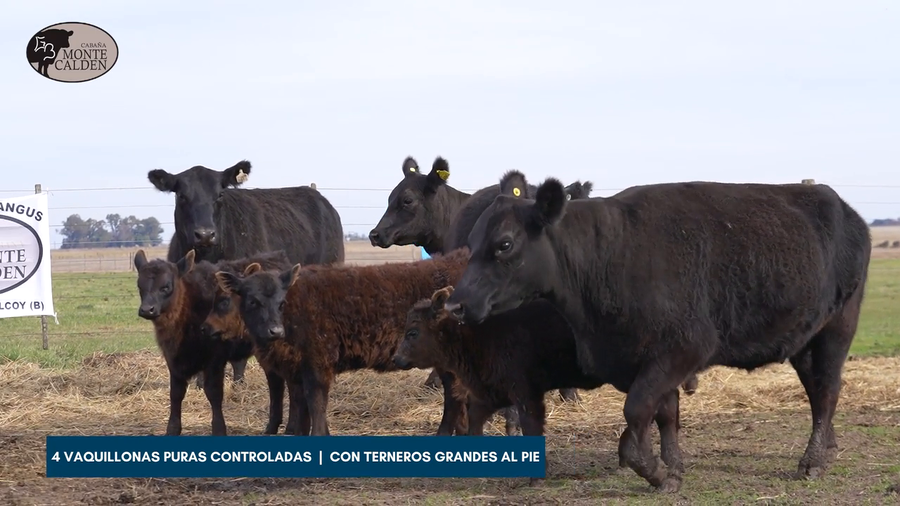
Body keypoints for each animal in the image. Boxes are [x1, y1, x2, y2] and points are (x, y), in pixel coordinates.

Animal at [134, 248, 299, 436]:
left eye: (166, 287)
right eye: (140, 286)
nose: (147, 309)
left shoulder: (214, 360)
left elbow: (213, 393)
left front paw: (219, 429)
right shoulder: (173, 361)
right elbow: (176, 393)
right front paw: (172, 430)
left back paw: (291, 426)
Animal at [213, 248, 473, 437]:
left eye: (281, 302)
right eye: (252, 301)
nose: (274, 331)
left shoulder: (317, 363)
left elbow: (316, 401)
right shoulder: (294, 370)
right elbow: (300, 405)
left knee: (454, 395)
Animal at [444, 171, 871, 493]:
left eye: (504, 244)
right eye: (471, 242)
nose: (456, 305)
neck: (606, 257)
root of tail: (839, 204)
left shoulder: (683, 349)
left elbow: (637, 412)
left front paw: (656, 472)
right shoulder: (647, 359)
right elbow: (664, 414)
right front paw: (673, 467)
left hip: (837, 329)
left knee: (827, 390)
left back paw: (812, 461)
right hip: (805, 340)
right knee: (817, 391)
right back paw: (829, 449)